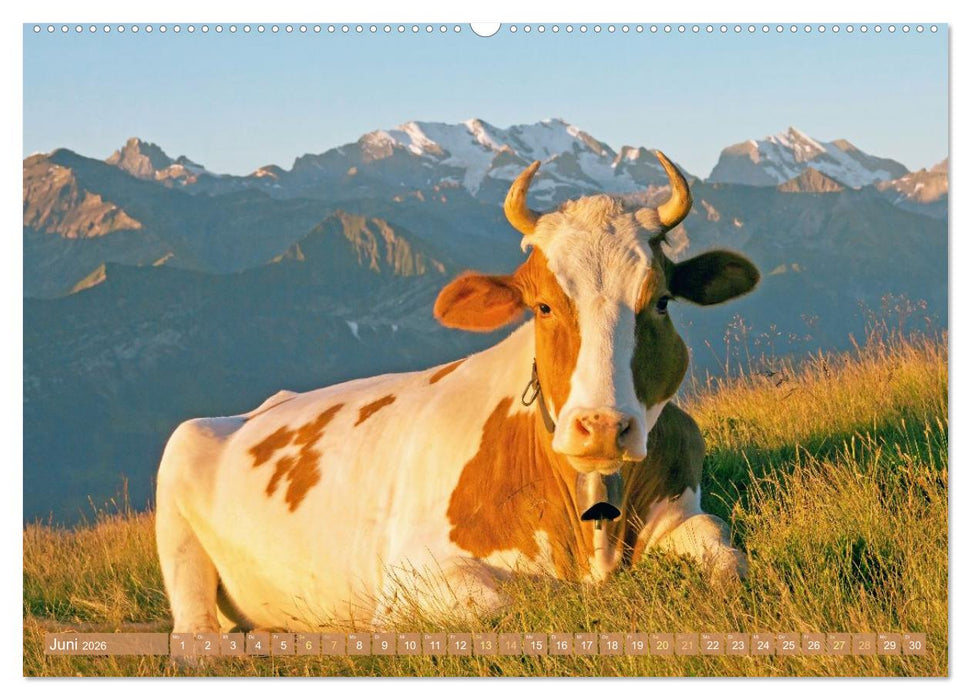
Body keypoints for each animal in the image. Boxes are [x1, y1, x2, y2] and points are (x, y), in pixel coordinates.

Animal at [156, 153, 759, 633]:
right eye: (542, 306)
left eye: (660, 301)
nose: (602, 427)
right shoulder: (408, 581)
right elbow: (520, 599)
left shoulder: (682, 511)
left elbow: (726, 555)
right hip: (177, 495)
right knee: (194, 632)